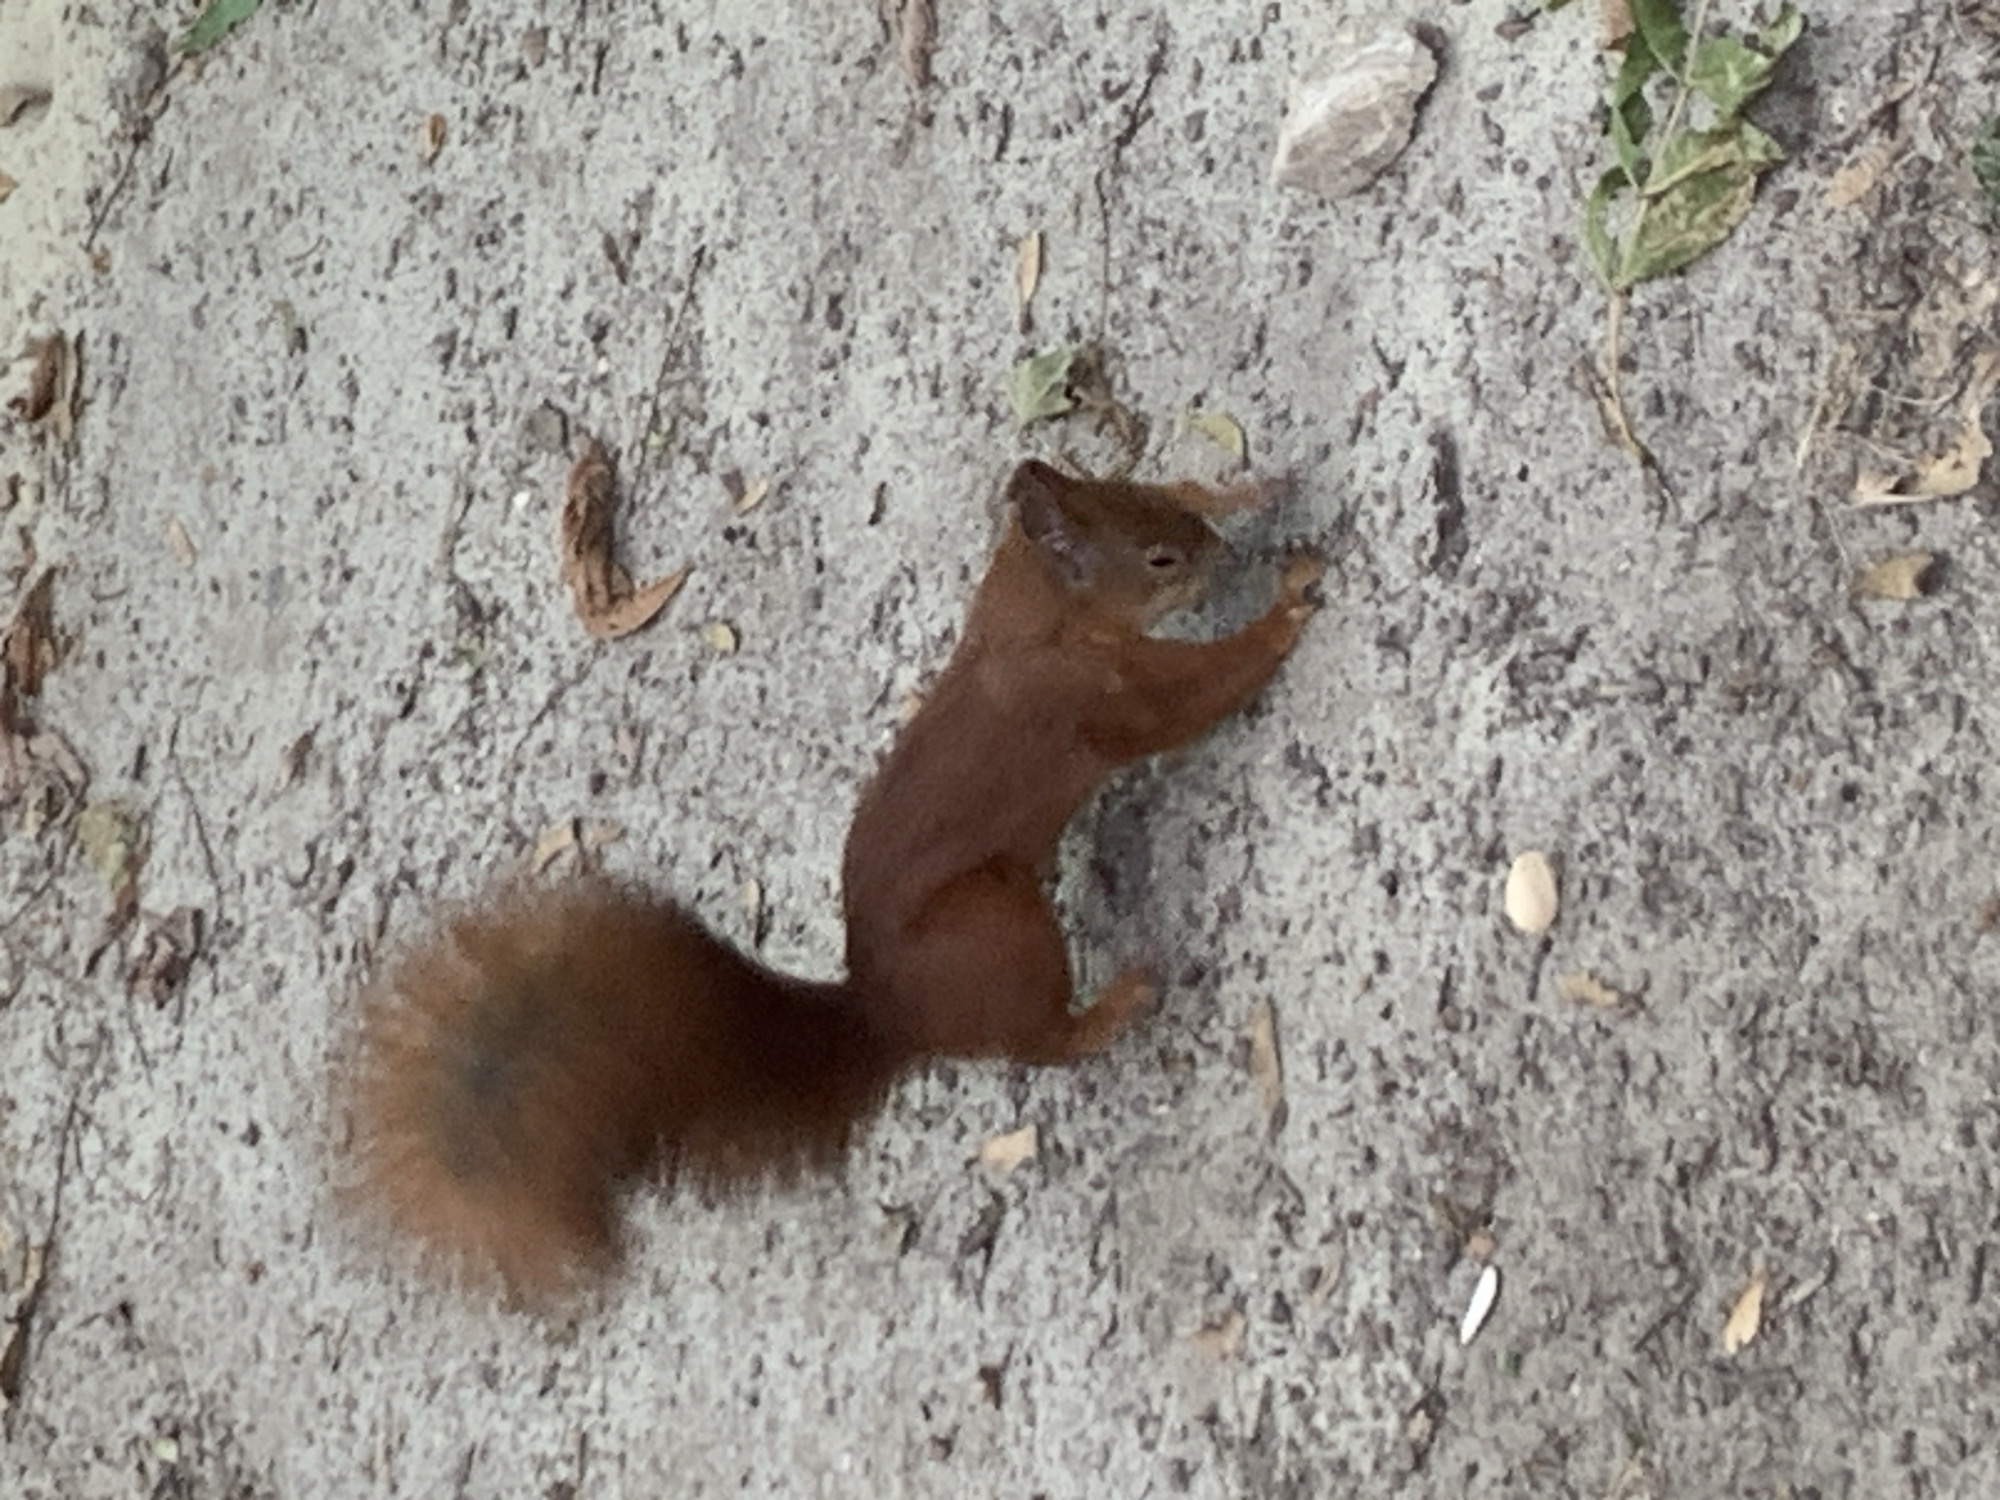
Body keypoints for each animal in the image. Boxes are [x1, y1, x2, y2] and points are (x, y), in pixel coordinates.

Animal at [346, 458, 1324, 1298]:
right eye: (1159, 560)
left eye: (1152, 493)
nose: (1220, 553)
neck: (1032, 613)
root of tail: (889, 1010)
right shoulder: (1090, 700)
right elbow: (1197, 696)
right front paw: (1290, 599)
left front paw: (1255, 487)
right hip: (997, 927)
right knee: (1040, 1042)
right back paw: (1124, 996)